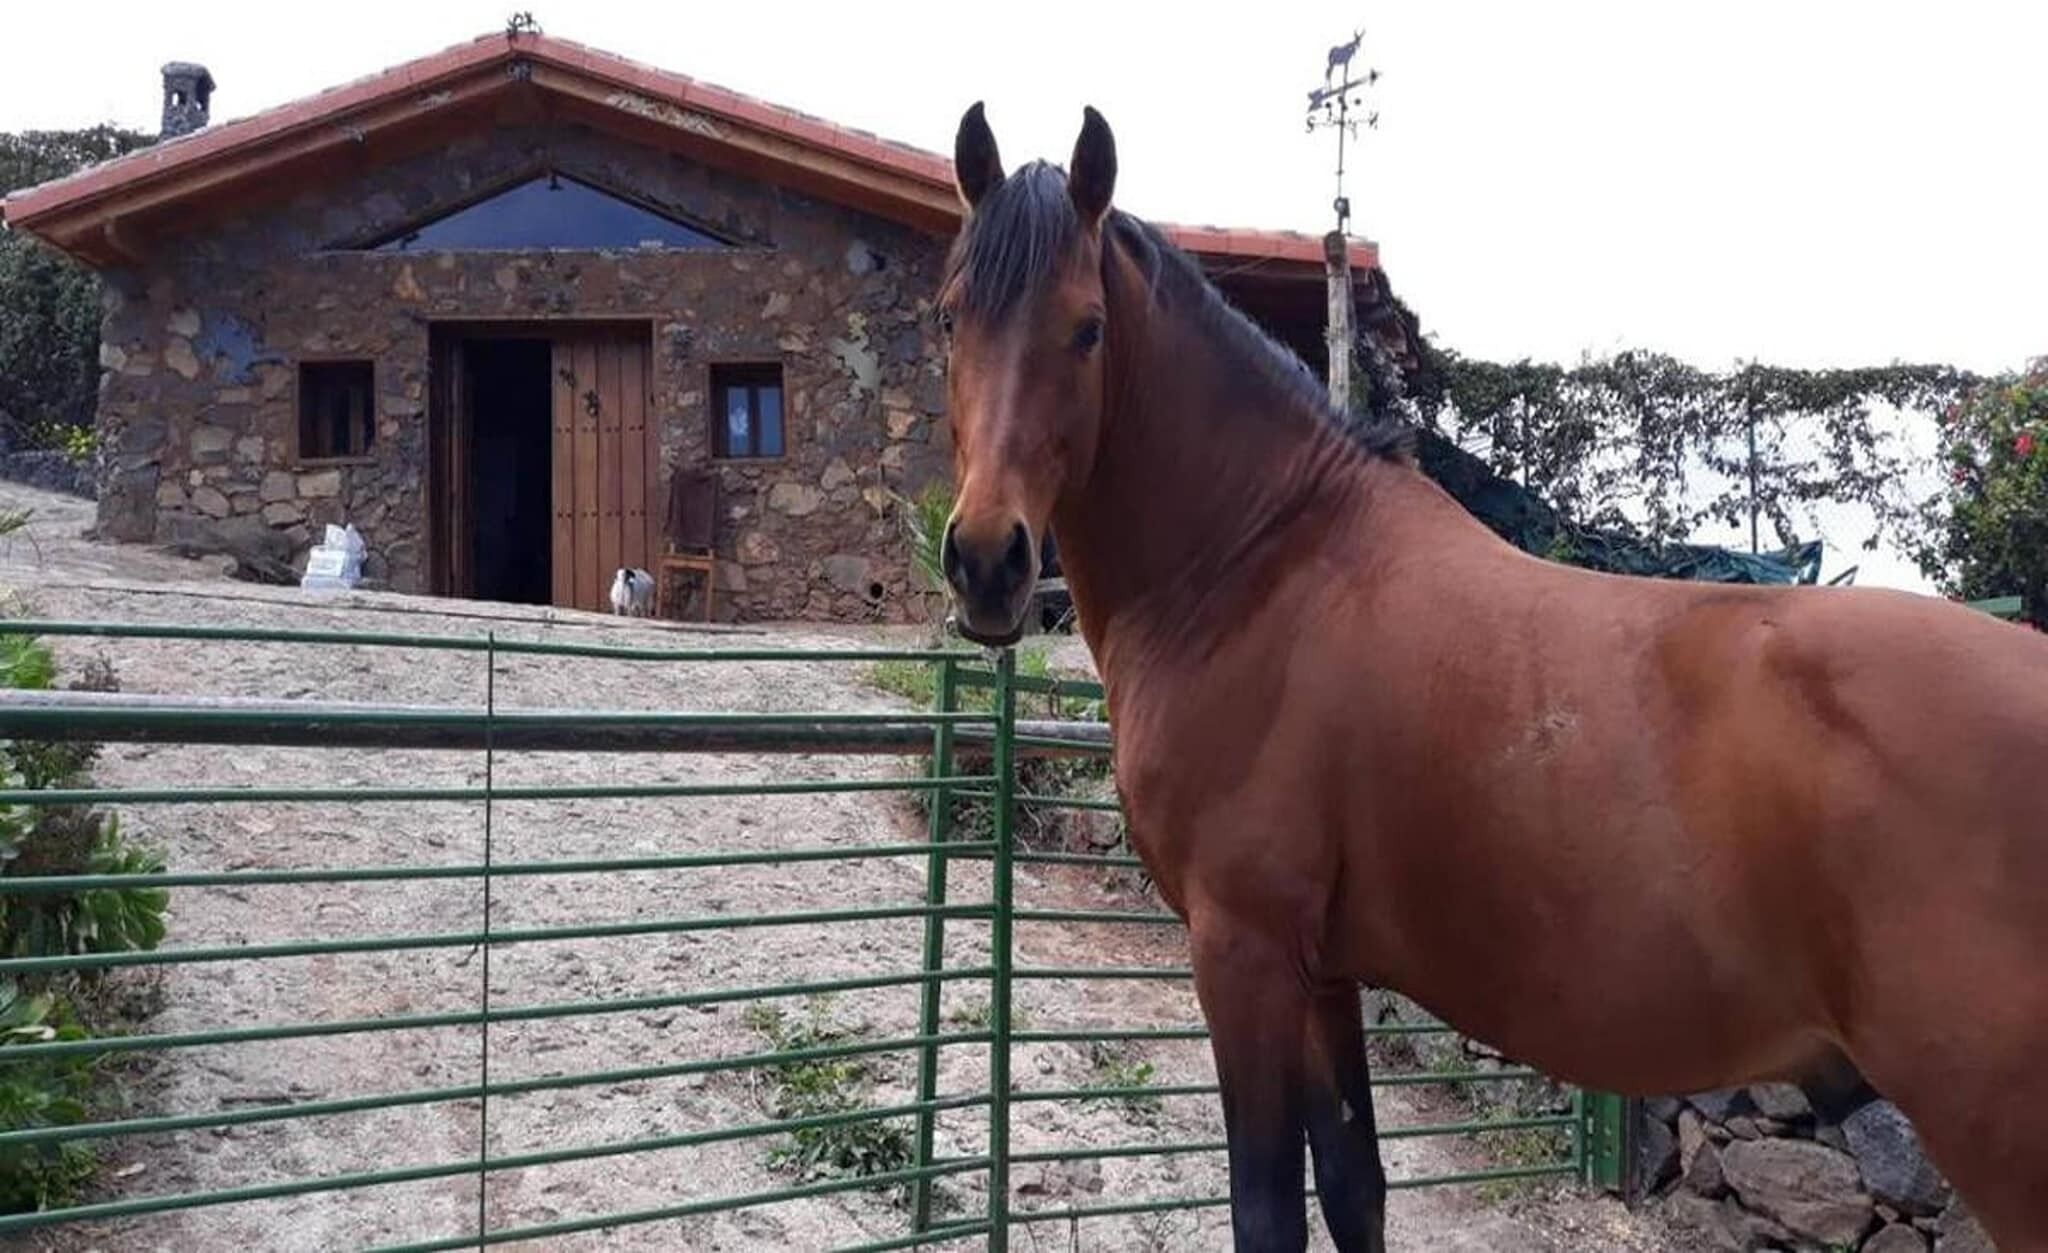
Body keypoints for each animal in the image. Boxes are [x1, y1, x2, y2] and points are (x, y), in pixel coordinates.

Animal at [933, 101, 2048, 1251]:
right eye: (948, 318)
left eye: (1087, 328)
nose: (986, 560)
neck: (1257, 565)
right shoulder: (1322, 970)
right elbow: (1355, 1184)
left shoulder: (1242, 952)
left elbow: (1267, 1208)